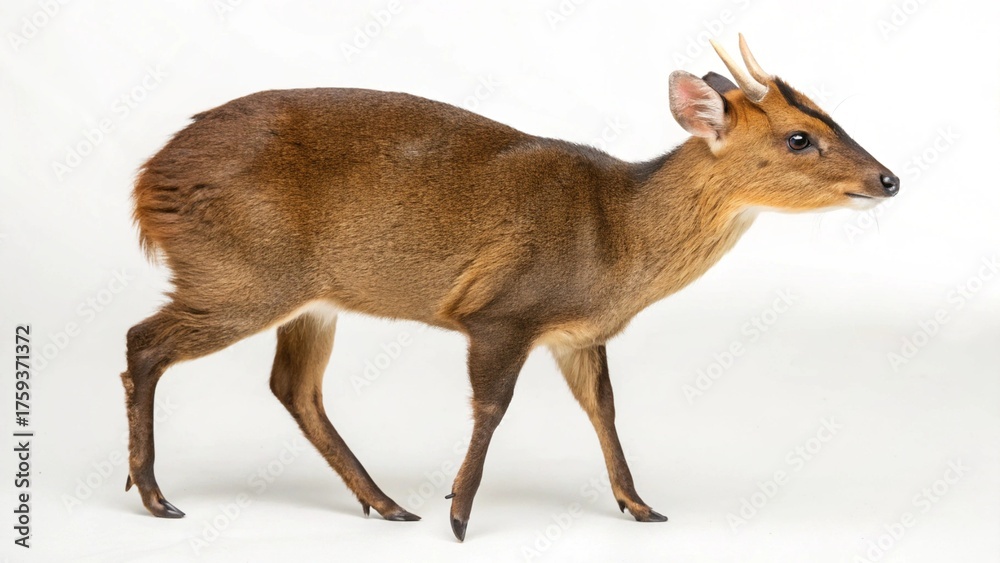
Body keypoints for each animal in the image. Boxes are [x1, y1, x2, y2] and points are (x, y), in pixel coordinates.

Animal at [121, 35, 898, 541]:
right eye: (800, 138)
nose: (889, 179)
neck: (619, 231)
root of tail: (149, 179)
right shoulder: (501, 311)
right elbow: (492, 407)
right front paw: (461, 513)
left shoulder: (576, 333)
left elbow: (604, 408)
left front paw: (639, 504)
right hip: (241, 275)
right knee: (143, 343)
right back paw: (155, 495)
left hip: (306, 298)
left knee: (293, 387)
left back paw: (385, 503)